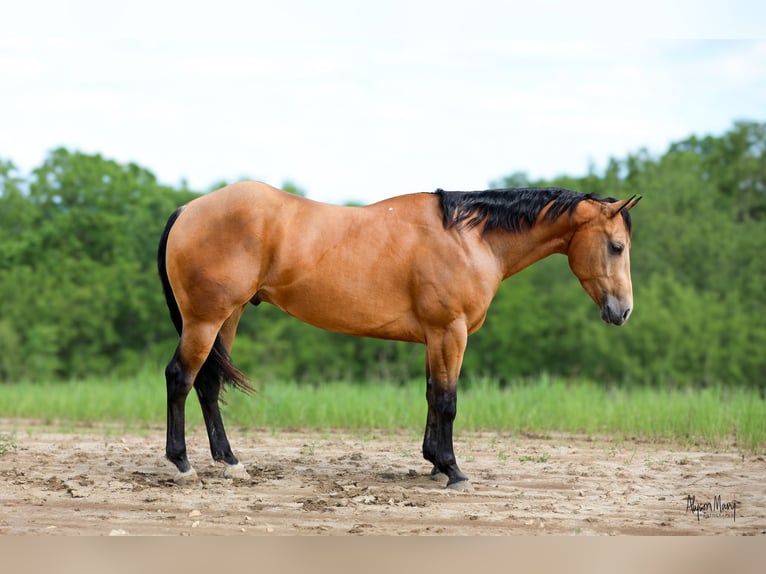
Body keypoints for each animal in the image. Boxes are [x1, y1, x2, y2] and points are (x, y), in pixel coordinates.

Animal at [158, 182, 640, 492]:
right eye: (616, 246)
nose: (623, 311)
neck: (468, 239)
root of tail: (187, 209)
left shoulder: (434, 337)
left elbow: (431, 395)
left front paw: (433, 463)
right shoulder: (450, 332)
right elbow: (447, 401)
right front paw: (453, 471)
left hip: (228, 318)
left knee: (208, 384)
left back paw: (230, 463)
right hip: (206, 319)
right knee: (180, 378)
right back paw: (182, 465)